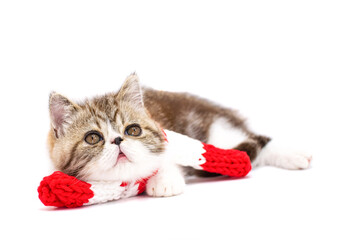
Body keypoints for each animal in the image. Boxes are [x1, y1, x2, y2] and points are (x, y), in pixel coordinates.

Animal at [47, 73, 312, 197]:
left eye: (133, 130)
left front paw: (164, 181)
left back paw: (294, 155)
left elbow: (167, 157)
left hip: (216, 130)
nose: (118, 140)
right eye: (93, 138)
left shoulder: (168, 135)